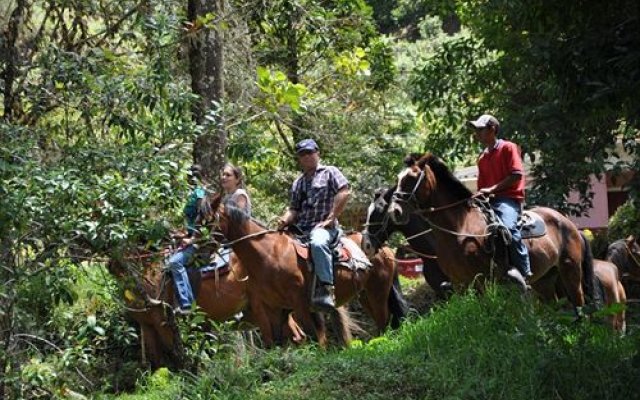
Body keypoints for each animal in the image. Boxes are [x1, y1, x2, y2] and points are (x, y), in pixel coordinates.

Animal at [202, 193, 408, 346]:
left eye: (208, 220)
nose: (197, 248)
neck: (270, 253)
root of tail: (385, 248)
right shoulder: (274, 308)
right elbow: (278, 344)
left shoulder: (300, 304)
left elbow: (314, 338)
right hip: (365, 295)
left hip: (378, 292)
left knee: (384, 321)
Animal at [384, 155, 596, 314]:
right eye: (398, 179)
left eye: (411, 179)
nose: (395, 211)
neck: (460, 228)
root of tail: (570, 226)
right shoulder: (460, 284)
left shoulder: (482, 281)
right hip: (545, 280)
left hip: (570, 271)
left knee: (579, 303)